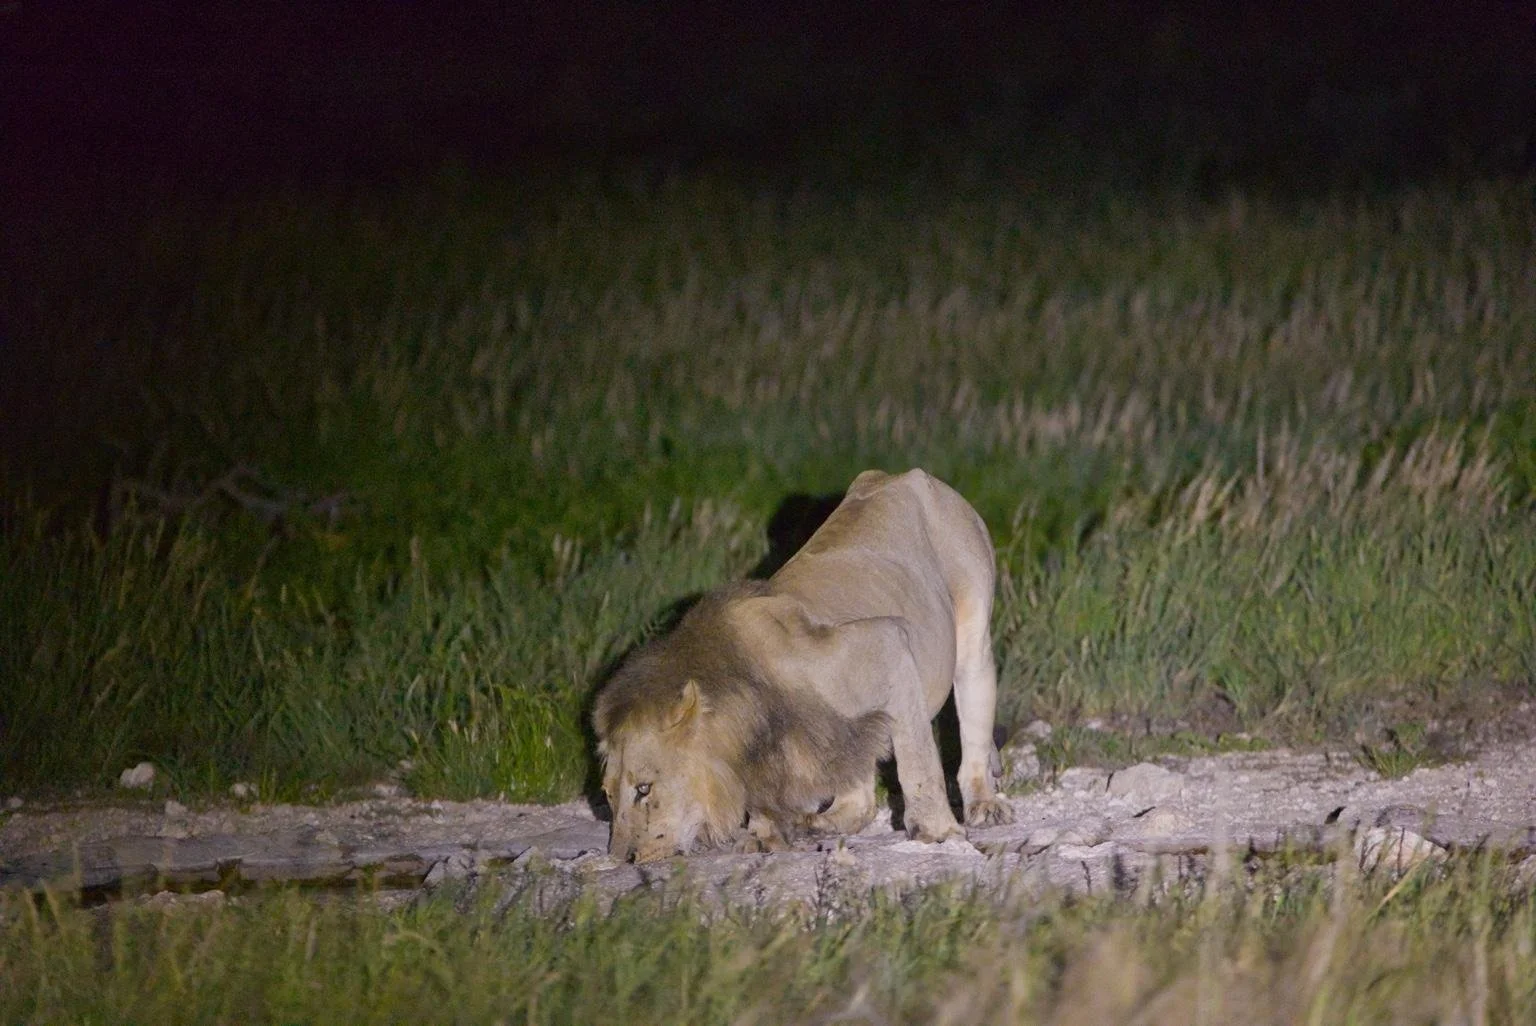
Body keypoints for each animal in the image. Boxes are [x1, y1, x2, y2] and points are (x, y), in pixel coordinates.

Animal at [593, 468, 1013, 862]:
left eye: (644, 789)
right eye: (607, 794)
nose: (623, 858)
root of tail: (904, 474)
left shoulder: (888, 645)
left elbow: (919, 764)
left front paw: (938, 833)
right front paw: (763, 836)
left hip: (972, 630)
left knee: (972, 710)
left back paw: (983, 802)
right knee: (859, 798)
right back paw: (822, 821)